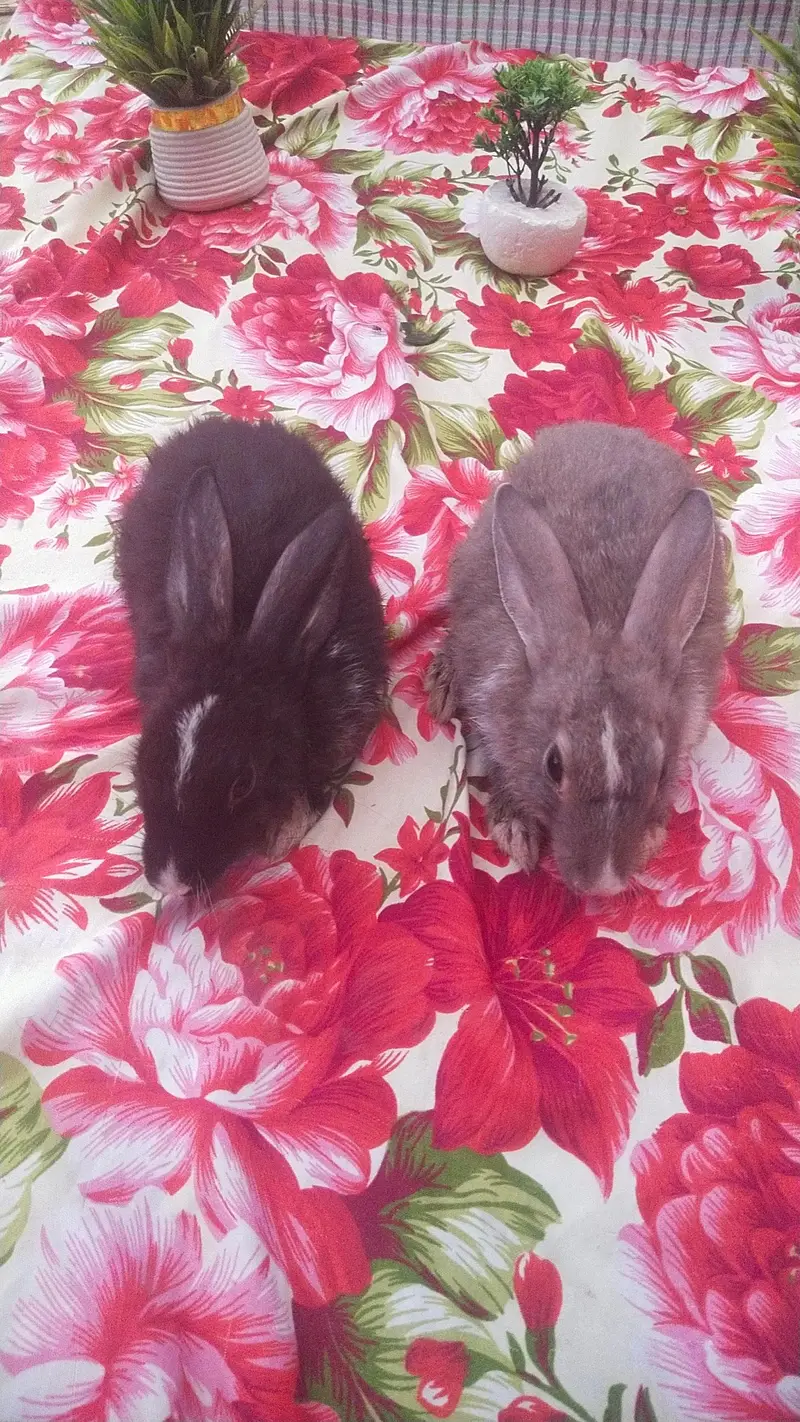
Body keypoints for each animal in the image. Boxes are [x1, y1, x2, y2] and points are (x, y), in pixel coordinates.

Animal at [427, 421, 726, 896]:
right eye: (553, 765)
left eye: (661, 769)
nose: (602, 885)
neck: (602, 628)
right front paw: (517, 834)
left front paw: (650, 838)